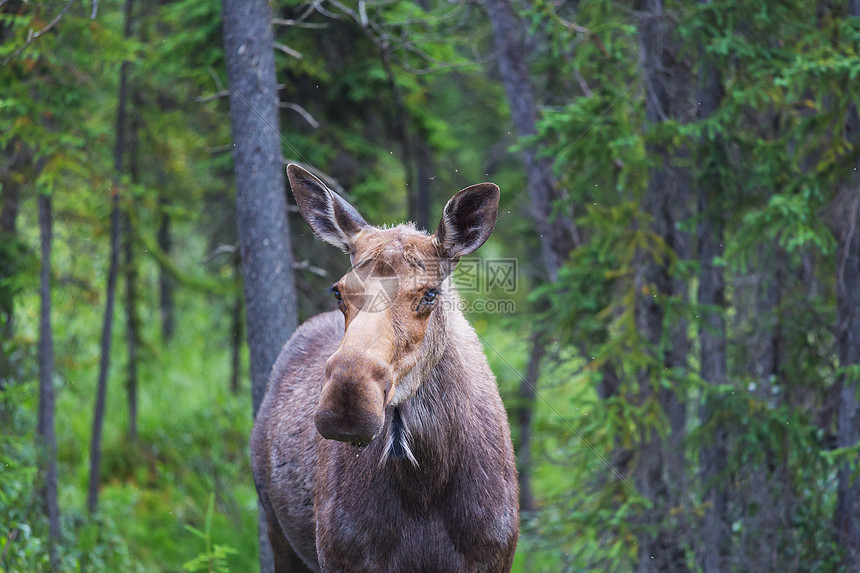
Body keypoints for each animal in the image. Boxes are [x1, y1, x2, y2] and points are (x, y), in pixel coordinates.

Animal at [249, 163, 516, 568]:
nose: (348, 400)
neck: (426, 481)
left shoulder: (494, 558)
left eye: (430, 294)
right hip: (277, 532)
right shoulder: (341, 558)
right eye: (338, 291)